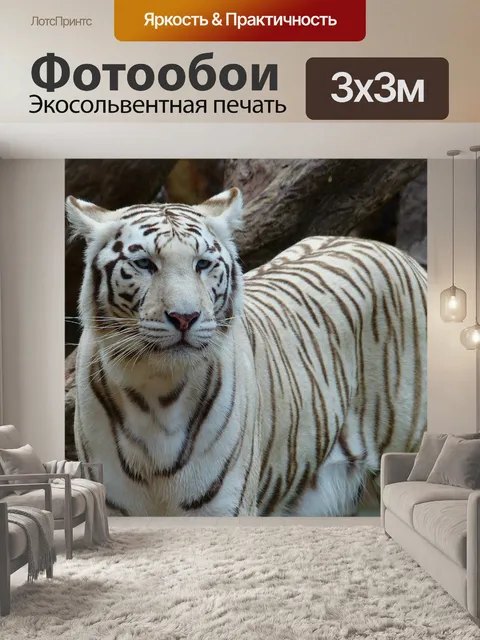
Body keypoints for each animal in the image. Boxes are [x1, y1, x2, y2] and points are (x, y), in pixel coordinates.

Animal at [66, 187, 427, 517]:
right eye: (144, 264)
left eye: (202, 264)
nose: (185, 317)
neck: (157, 392)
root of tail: (388, 248)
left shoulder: (224, 507)